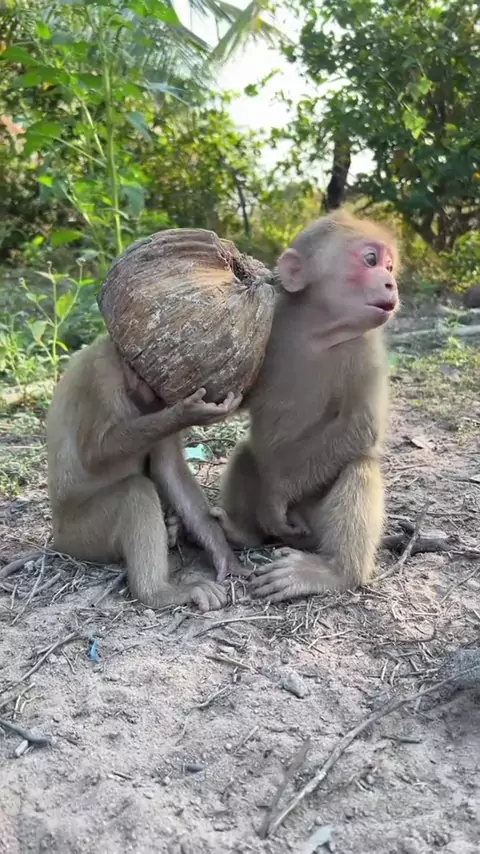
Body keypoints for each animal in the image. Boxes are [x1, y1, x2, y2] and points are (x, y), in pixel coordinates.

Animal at [46, 334, 246, 613]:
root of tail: (58, 539)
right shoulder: (100, 377)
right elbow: (94, 453)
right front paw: (185, 413)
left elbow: (169, 467)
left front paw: (223, 554)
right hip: (79, 536)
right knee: (135, 491)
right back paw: (157, 592)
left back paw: (173, 529)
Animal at [211, 209, 400, 603]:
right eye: (371, 261)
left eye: (390, 266)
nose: (391, 283)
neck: (318, 331)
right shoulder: (273, 325)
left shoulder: (368, 350)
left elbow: (360, 427)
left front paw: (277, 497)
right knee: (248, 454)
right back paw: (241, 532)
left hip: (312, 524)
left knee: (359, 466)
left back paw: (333, 572)